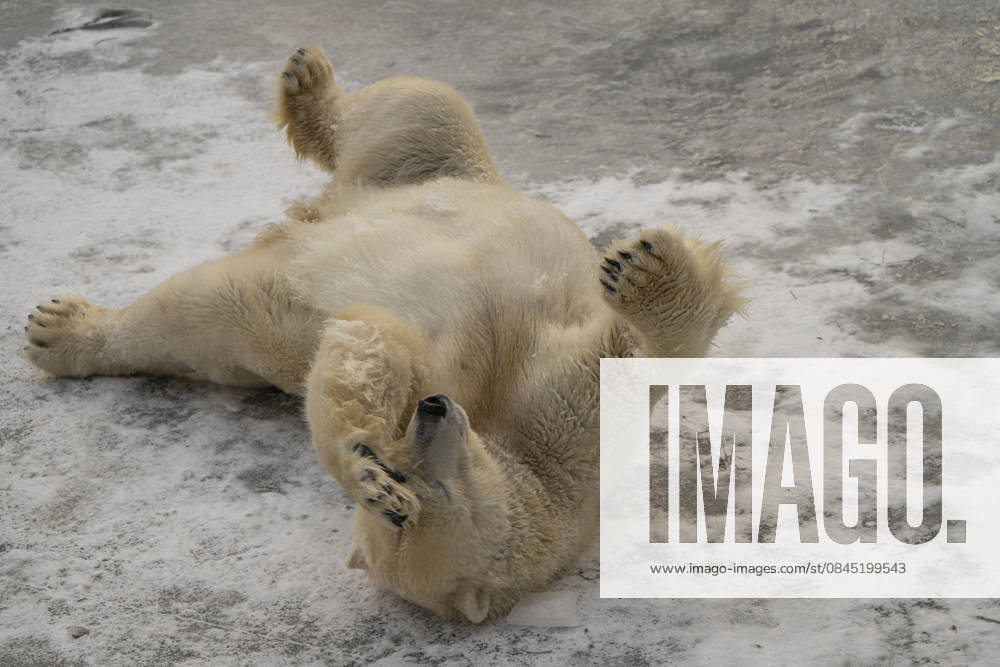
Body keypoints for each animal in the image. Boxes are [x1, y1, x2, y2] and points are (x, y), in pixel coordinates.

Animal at [22, 46, 745, 622]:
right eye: (396, 493)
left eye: (426, 495)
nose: (433, 408)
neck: (524, 458)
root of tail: (326, 210)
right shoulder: (520, 413)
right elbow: (369, 342)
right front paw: (360, 459)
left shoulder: (562, 425)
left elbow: (623, 357)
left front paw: (640, 267)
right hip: (355, 234)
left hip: (415, 182)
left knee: (414, 112)